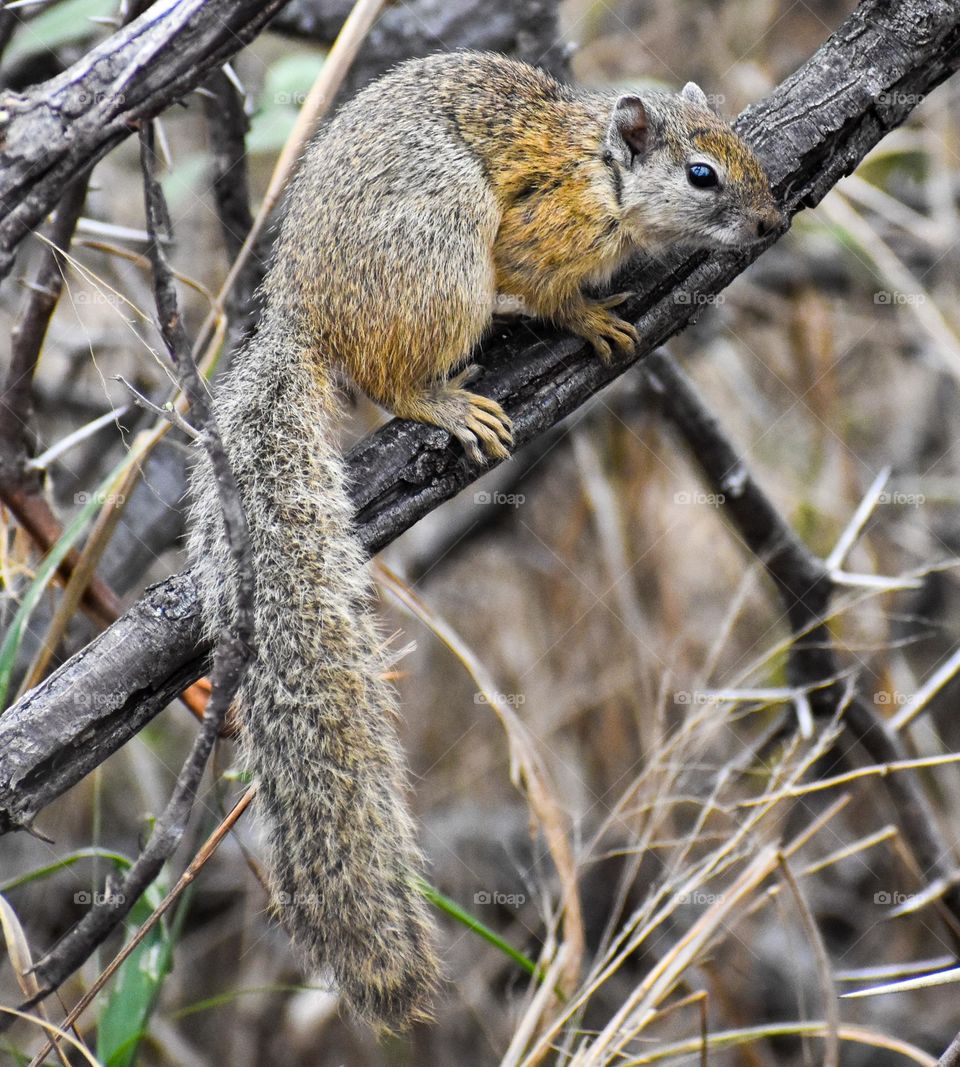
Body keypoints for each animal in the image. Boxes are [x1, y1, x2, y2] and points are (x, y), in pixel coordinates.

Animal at [185, 50, 780, 1032]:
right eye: (702, 175)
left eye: (746, 146)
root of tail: (302, 309)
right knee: (390, 377)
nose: (772, 220)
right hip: (440, 246)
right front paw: (588, 318)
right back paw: (448, 398)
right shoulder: (544, 229)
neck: (602, 173)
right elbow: (545, 284)